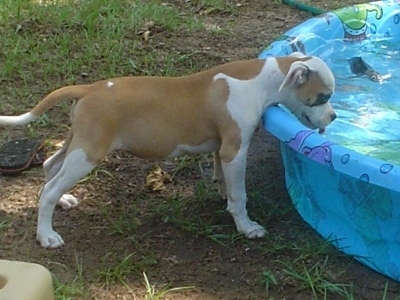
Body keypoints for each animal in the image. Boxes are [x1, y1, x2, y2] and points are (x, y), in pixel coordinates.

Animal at [0, 52, 336, 248]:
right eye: (322, 97)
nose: (333, 117)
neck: (263, 79)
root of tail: (89, 89)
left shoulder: (221, 148)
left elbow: (223, 179)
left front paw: (223, 194)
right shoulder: (235, 151)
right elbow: (240, 196)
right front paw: (246, 226)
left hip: (79, 142)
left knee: (51, 167)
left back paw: (64, 200)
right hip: (88, 152)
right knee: (49, 189)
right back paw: (46, 235)